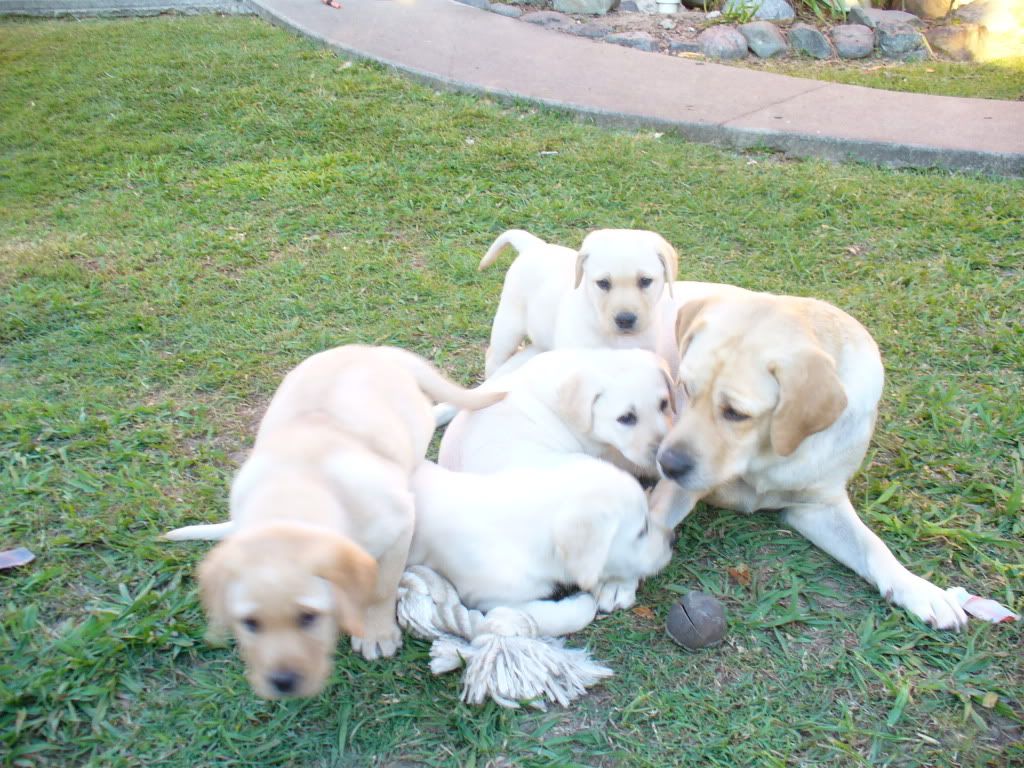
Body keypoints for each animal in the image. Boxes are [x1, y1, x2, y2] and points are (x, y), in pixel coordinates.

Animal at [161, 346, 501, 700]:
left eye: (308, 617)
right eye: (250, 623)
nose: (283, 682)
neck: (293, 488)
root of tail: (372, 349)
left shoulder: (400, 525)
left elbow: (381, 588)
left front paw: (376, 632)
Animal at [477, 228, 679, 378]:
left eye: (645, 281)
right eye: (603, 283)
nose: (625, 319)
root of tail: (534, 246)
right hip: (509, 324)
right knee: (494, 356)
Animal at [651, 282, 970, 630]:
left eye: (736, 413)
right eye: (686, 388)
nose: (666, 463)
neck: (767, 457)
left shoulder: (819, 505)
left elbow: (873, 545)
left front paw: (917, 587)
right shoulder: (679, 485)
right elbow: (653, 520)